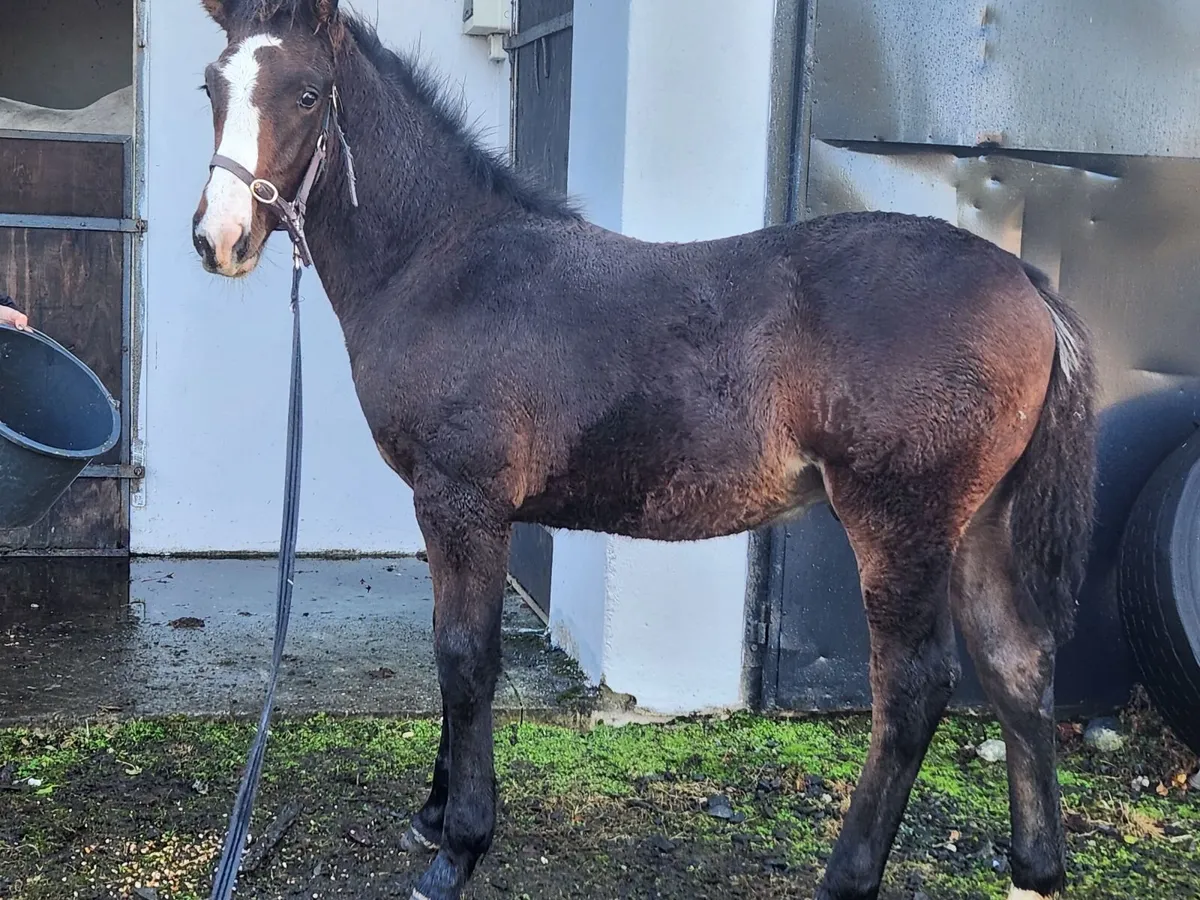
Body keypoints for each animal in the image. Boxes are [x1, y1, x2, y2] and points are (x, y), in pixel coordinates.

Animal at [190, 2, 1098, 898]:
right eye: (210, 85)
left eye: (307, 93)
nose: (217, 239)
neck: (443, 265)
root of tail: (1029, 286)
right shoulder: (453, 508)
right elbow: (450, 646)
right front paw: (433, 816)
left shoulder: (462, 500)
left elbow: (465, 656)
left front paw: (458, 850)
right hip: (979, 523)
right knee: (1017, 664)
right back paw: (1034, 873)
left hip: (903, 522)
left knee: (913, 688)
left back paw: (847, 877)